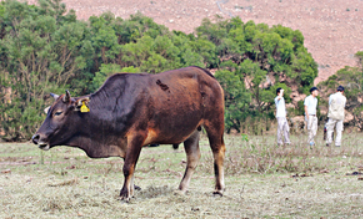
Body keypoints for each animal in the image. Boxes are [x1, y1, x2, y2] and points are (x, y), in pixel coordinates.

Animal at [33, 66, 228, 201]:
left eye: (58, 113)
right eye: (48, 111)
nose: (37, 137)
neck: (116, 103)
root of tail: (207, 75)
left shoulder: (136, 136)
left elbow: (127, 167)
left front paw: (124, 194)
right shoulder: (125, 144)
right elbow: (131, 166)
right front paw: (131, 192)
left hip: (214, 122)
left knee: (218, 151)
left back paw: (218, 189)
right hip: (192, 130)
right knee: (193, 157)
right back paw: (181, 188)